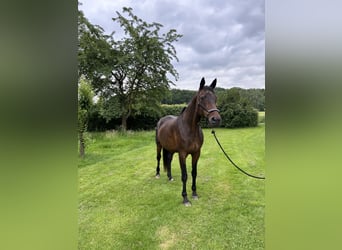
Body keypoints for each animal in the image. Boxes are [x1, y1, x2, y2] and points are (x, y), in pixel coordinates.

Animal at [156, 77, 222, 206]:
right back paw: (157, 174)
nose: (215, 119)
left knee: (169, 160)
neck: (189, 127)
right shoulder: (182, 154)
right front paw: (185, 198)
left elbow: (194, 173)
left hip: (170, 149)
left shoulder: (196, 153)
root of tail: (161, 120)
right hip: (159, 145)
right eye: (202, 97)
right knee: (158, 158)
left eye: (215, 98)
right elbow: (185, 175)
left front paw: (194, 194)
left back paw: (170, 177)